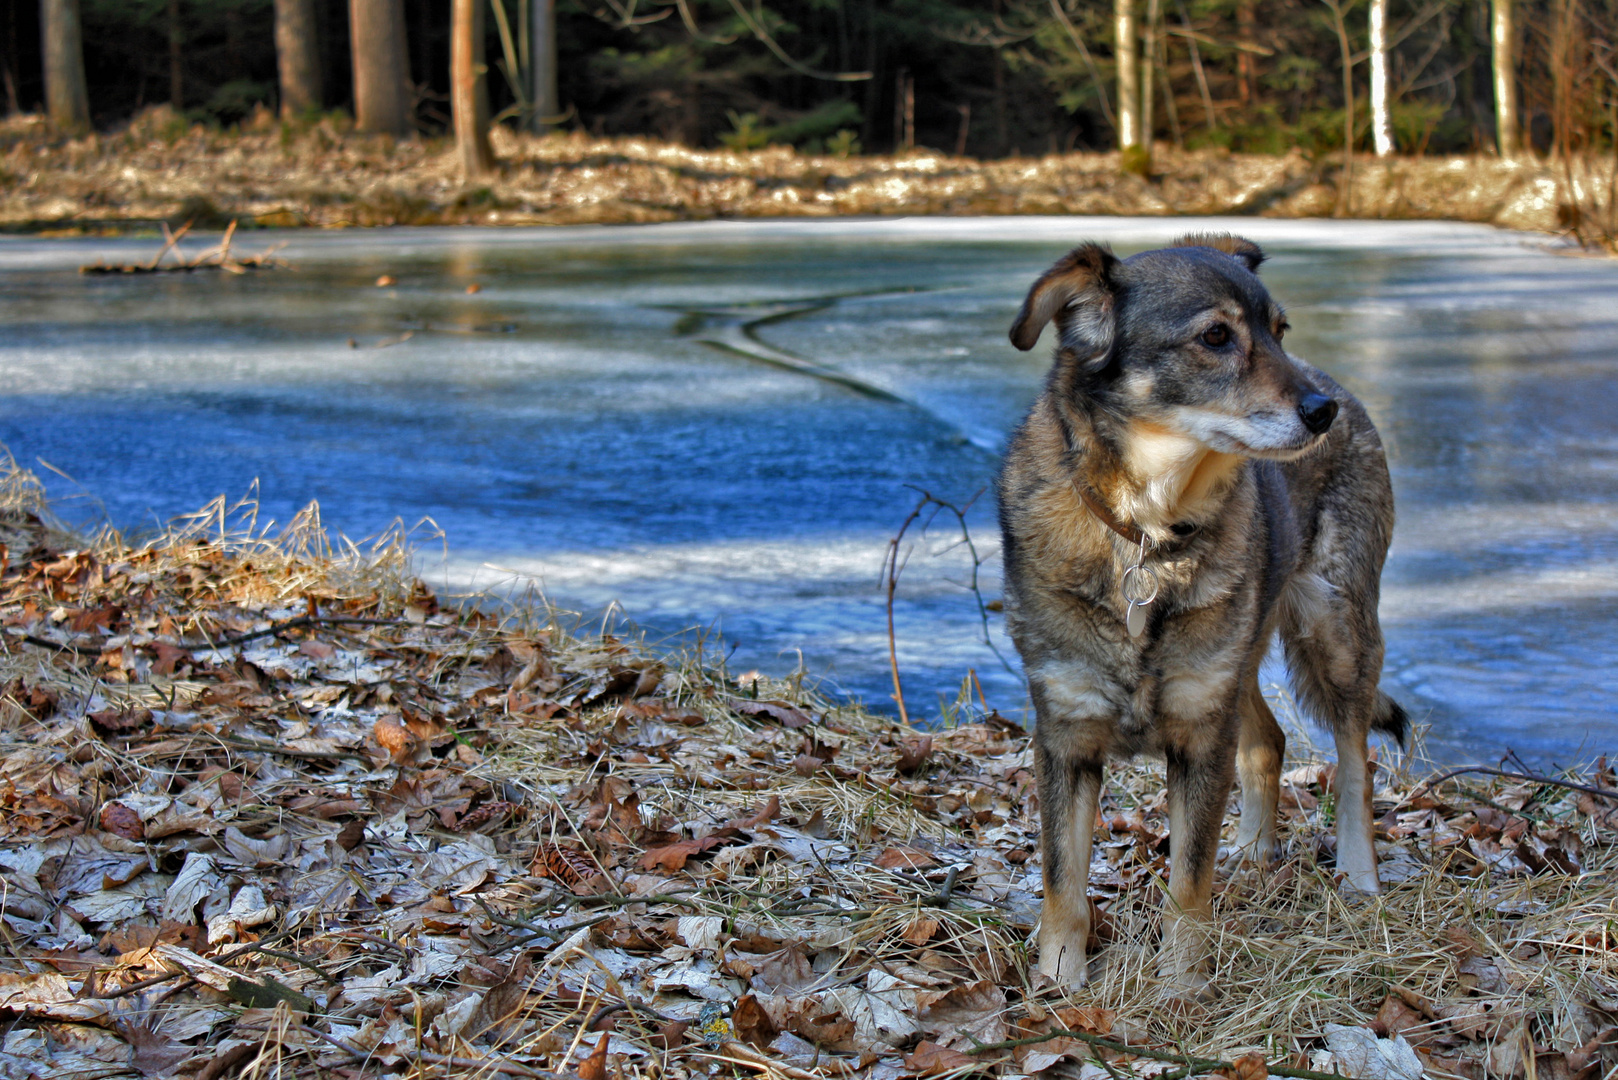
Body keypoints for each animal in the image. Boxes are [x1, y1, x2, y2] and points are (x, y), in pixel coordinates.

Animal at [990, 236, 1410, 997]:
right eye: (1216, 337)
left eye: (1279, 331)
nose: (1322, 411)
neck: (1146, 532)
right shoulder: (1067, 735)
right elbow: (1063, 881)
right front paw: (1060, 986)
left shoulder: (1199, 735)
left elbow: (1188, 879)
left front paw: (1181, 986)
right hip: (1238, 662)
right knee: (1269, 741)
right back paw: (1252, 851)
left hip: (1335, 634)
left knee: (1355, 765)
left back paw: (1358, 875)